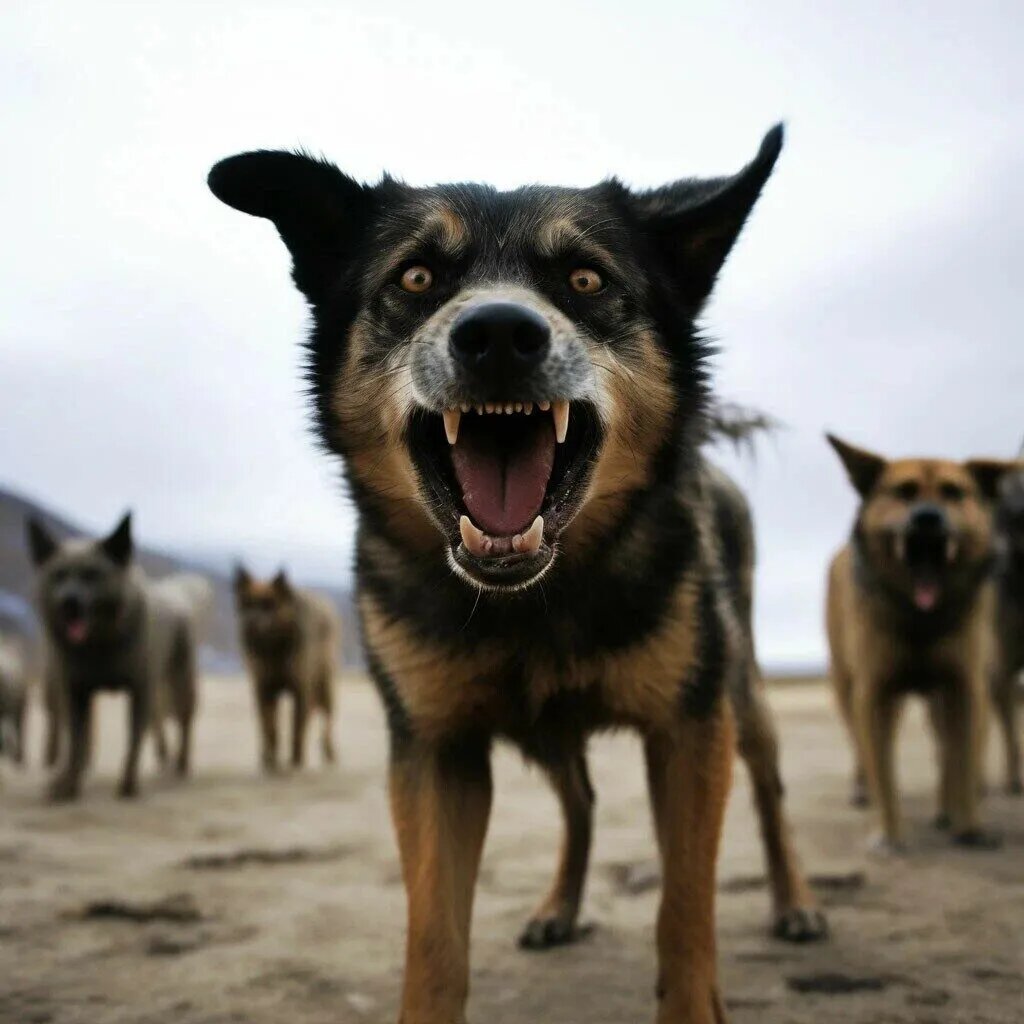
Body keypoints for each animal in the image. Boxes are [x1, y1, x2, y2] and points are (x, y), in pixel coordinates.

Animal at [27, 512, 203, 798]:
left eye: (92, 575)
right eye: (59, 575)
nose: (69, 602)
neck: (100, 646)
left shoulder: (140, 688)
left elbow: (134, 738)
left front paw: (128, 785)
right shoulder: (75, 692)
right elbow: (77, 740)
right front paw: (67, 785)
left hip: (181, 681)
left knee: (184, 723)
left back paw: (180, 764)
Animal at [233, 565, 339, 770]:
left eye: (269, 605)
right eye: (246, 604)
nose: (250, 623)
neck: (275, 649)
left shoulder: (301, 690)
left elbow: (297, 728)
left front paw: (295, 759)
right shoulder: (263, 690)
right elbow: (269, 727)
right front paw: (270, 757)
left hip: (325, 687)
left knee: (327, 720)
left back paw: (328, 750)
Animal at [827, 436, 1019, 851]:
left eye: (954, 492)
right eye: (904, 491)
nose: (928, 518)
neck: (921, 618)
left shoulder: (966, 687)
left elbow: (962, 761)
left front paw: (969, 826)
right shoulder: (874, 692)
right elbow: (882, 770)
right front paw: (887, 833)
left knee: (945, 751)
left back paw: (946, 811)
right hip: (846, 684)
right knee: (862, 748)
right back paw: (863, 790)